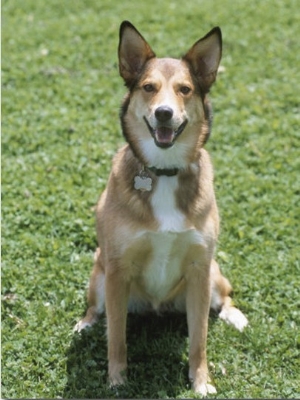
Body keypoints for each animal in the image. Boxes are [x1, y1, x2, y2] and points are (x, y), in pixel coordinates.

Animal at [75, 20, 248, 396]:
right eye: (148, 87)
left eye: (184, 89)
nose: (164, 112)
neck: (164, 171)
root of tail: (158, 308)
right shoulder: (118, 269)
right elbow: (117, 337)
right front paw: (116, 380)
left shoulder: (199, 269)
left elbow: (199, 339)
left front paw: (201, 381)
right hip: (99, 273)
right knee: (99, 311)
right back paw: (85, 323)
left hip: (213, 276)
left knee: (224, 298)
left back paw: (235, 316)